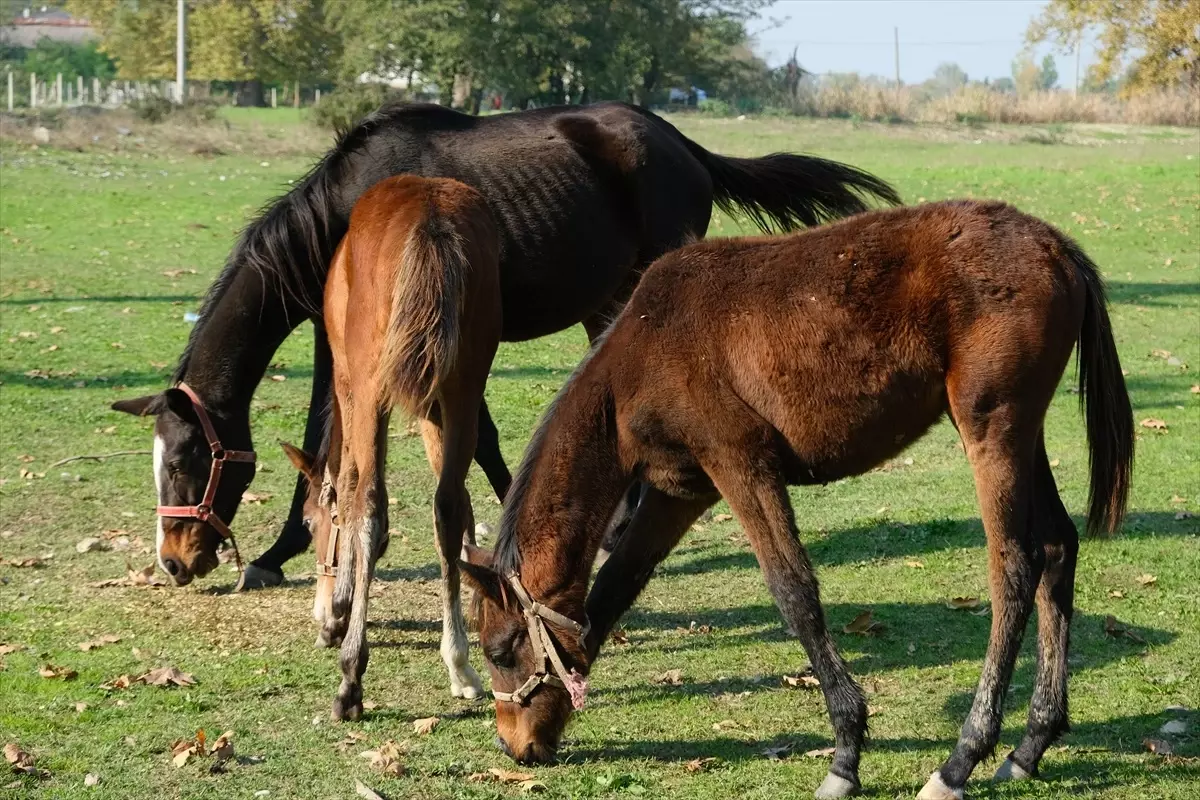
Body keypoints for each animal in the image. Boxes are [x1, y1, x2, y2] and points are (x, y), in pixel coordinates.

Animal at [114, 100, 902, 597]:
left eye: (183, 461)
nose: (173, 563)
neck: (342, 213)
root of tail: (684, 145)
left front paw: (278, 554)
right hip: (606, 300)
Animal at [285, 176, 501, 719]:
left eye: (308, 523)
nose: (321, 609)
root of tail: (429, 216)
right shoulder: (432, 402)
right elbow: (460, 506)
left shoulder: (351, 387)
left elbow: (350, 491)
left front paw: (338, 610)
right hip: (463, 386)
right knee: (447, 506)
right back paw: (459, 661)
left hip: (371, 389)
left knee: (371, 505)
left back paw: (350, 678)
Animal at [458, 196, 1132, 796]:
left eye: (501, 649)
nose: (511, 745)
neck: (639, 359)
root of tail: (1055, 245)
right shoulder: (681, 492)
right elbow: (615, 586)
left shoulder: (742, 465)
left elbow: (794, 593)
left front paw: (845, 755)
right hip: (1023, 434)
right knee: (1057, 550)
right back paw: (1029, 746)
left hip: (992, 429)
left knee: (1014, 569)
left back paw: (961, 759)